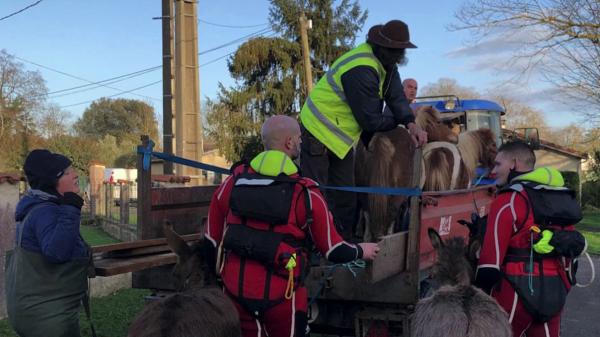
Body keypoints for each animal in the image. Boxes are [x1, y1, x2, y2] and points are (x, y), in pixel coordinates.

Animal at [356, 105, 460, 239]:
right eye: (438, 122)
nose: (455, 138)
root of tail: (381, 138)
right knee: (390, 216)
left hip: (363, 191)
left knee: (367, 215)